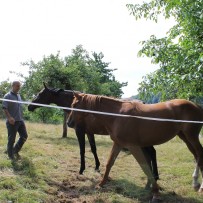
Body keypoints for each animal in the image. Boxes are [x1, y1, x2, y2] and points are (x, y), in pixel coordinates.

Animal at [27, 83, 159, 186]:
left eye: (40, 94)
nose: (29, 106)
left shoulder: (80, 131)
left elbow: (82, 150)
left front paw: (81, 170)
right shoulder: (89, 132)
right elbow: (93, 148)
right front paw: (97, 166)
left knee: (152, 152)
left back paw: (155, 177)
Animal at [67, 93, 203, 202]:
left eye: (75, 105)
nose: (69, 123)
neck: (117, 116)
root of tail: (197, 106)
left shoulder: (133, 146)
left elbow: (145, 166)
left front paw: (156, 193)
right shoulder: (118, 144)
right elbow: (109, 163)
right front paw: (101, 184)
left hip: (191, 136)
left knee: (199, 155)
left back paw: (198, 185)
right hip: (185, 137)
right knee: (197, 156)